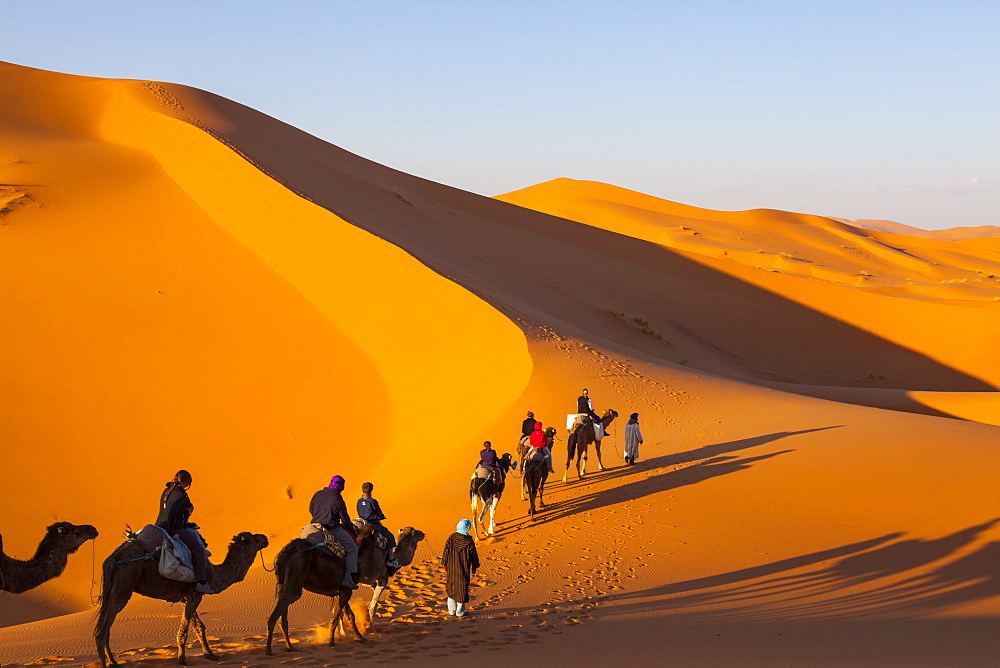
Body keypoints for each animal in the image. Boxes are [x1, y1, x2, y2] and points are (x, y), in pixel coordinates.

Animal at [95, 528, 268, 664]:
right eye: (254, 538)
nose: (265, 538)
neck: (214, 574)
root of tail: (113, 558)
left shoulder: (188, 597)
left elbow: (199, 627)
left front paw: (210, 655)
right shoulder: (194, 596)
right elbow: (184, 631)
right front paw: (182, 660)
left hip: (110, 591)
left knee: (106, 626)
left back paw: (114, 662)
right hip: (124, 584)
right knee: (102, 631)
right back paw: (108, 662)